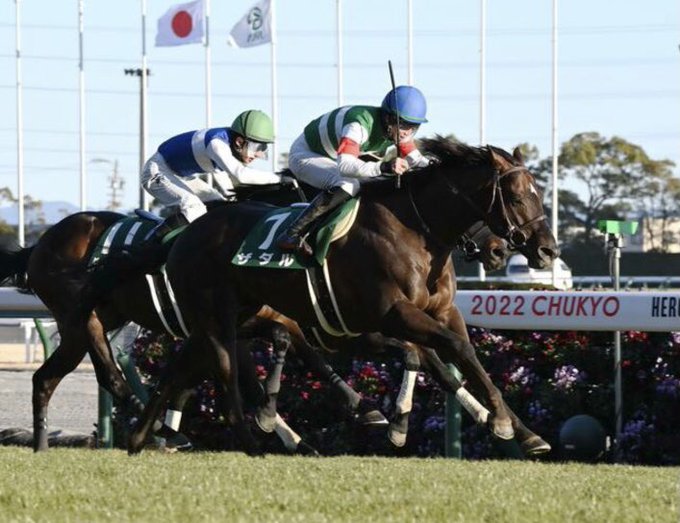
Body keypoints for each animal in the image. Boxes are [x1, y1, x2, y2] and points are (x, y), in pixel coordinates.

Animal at [114, 137, 559, 454]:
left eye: (538, 193)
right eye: (517, 196)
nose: (547, 250)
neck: (413, 230)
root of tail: (189, 231)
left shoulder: (437, 313)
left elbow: (459, 359)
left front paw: (521, 431)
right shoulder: (389, 314)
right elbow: (448, 352)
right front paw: (495, 421)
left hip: (225, 317)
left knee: (179, 369)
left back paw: (141, 437)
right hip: (216, 317)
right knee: (222, 373)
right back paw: (248, 440)